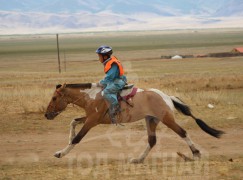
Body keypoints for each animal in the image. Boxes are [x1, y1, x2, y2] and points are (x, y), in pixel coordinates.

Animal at [44, 83, 224, 163]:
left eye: (54, 98)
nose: (47, 114)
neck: (91, 97)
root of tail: (166, 97)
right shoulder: (90, 118)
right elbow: (73, 122)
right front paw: (66, 143)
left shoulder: (92, 121)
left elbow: (77, 138)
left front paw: (61, 153)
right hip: (151, 120)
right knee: (152, 141)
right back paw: (138, 159)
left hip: (167, 119)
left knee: (183, 133)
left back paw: (196, 153)